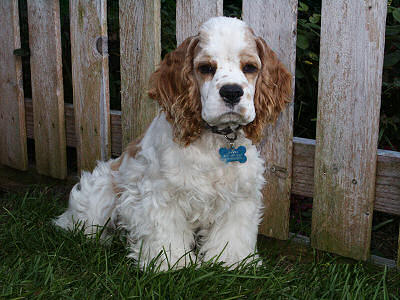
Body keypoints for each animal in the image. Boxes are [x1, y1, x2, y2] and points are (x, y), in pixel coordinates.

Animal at [53, 15, 290, 270]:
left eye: (250, 68)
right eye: (206, 68)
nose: (232, 92)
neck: (216, 139)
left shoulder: (240, 196)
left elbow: (232, 235)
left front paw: (233, 262)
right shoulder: (162, 194)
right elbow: (166, 233)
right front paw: (173, 263)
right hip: (101, 192)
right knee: (82, 223)